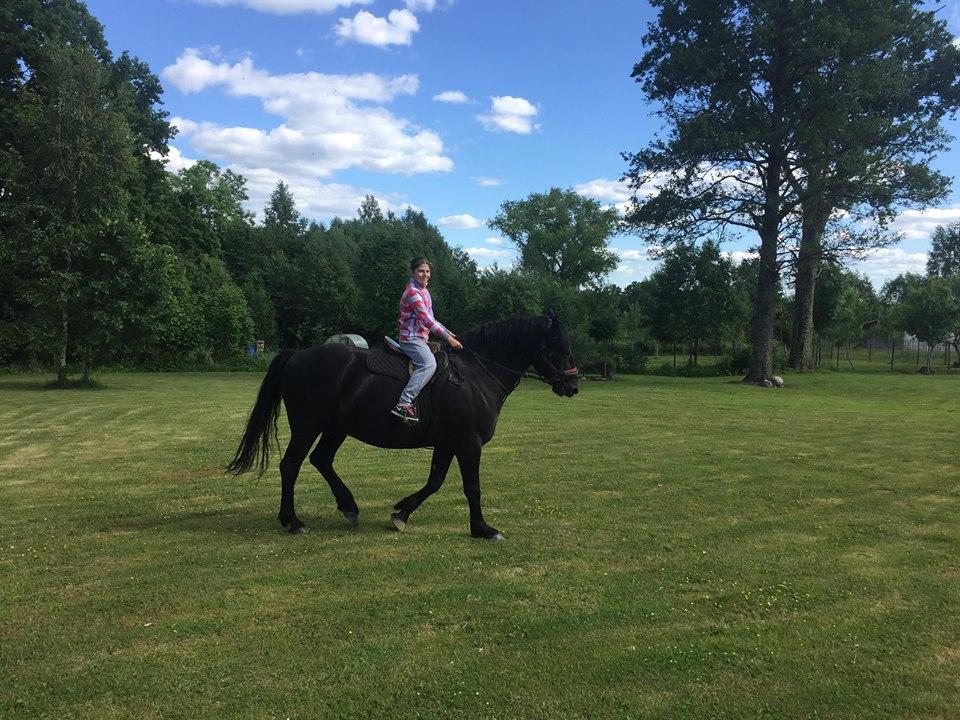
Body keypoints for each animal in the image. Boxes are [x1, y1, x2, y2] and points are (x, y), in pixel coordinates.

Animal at [227, 312, 576, 536]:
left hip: (336, 428)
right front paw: (482, 529)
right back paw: (293, 521)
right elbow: (472, 487)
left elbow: (434, 482)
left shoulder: (448, 443)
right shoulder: (468, 443)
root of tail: (299, 355)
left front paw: (401, 513)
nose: (573, 386)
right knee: (291, 465)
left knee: (321, 460)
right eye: (556, 347)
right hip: (307, 425)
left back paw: (348, 506)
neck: (474, 374)